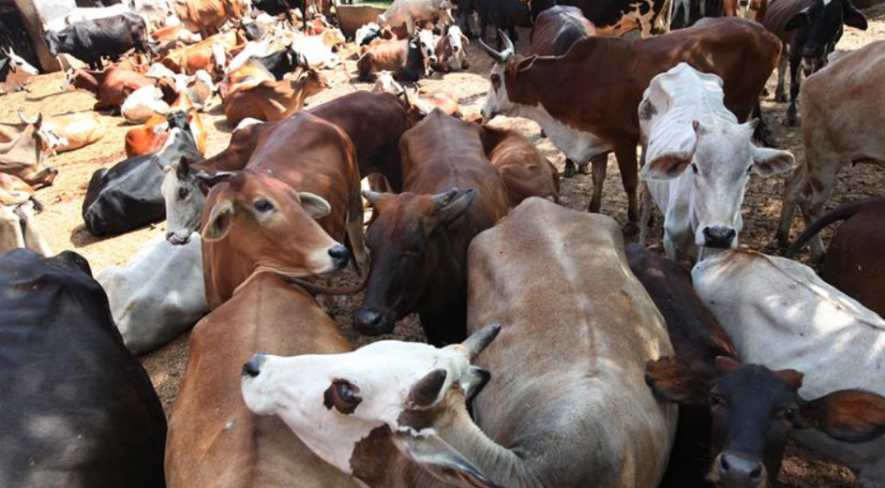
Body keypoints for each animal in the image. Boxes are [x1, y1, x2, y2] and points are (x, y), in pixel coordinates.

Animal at [480, 18, 781, 232]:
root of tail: (769, 35)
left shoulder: (623, 140)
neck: (574, 80)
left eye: (495, 78)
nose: (482, 111)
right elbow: (598, 177)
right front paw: (593, 208)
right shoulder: (597, 139)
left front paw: (633, 220)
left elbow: (629, 182)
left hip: (738, 112)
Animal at [637, 63, 794, 261]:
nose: (718, 234)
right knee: (645, 206)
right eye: (694, 167)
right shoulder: (671, 242)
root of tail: (683, 67)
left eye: (749, 168)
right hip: (644, 154)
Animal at [777, 41, 885, 257]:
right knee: (809, 204)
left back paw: (783, 236)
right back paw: (818, 253)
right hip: (824, 160)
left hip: (815, 154)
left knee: (792, 182)